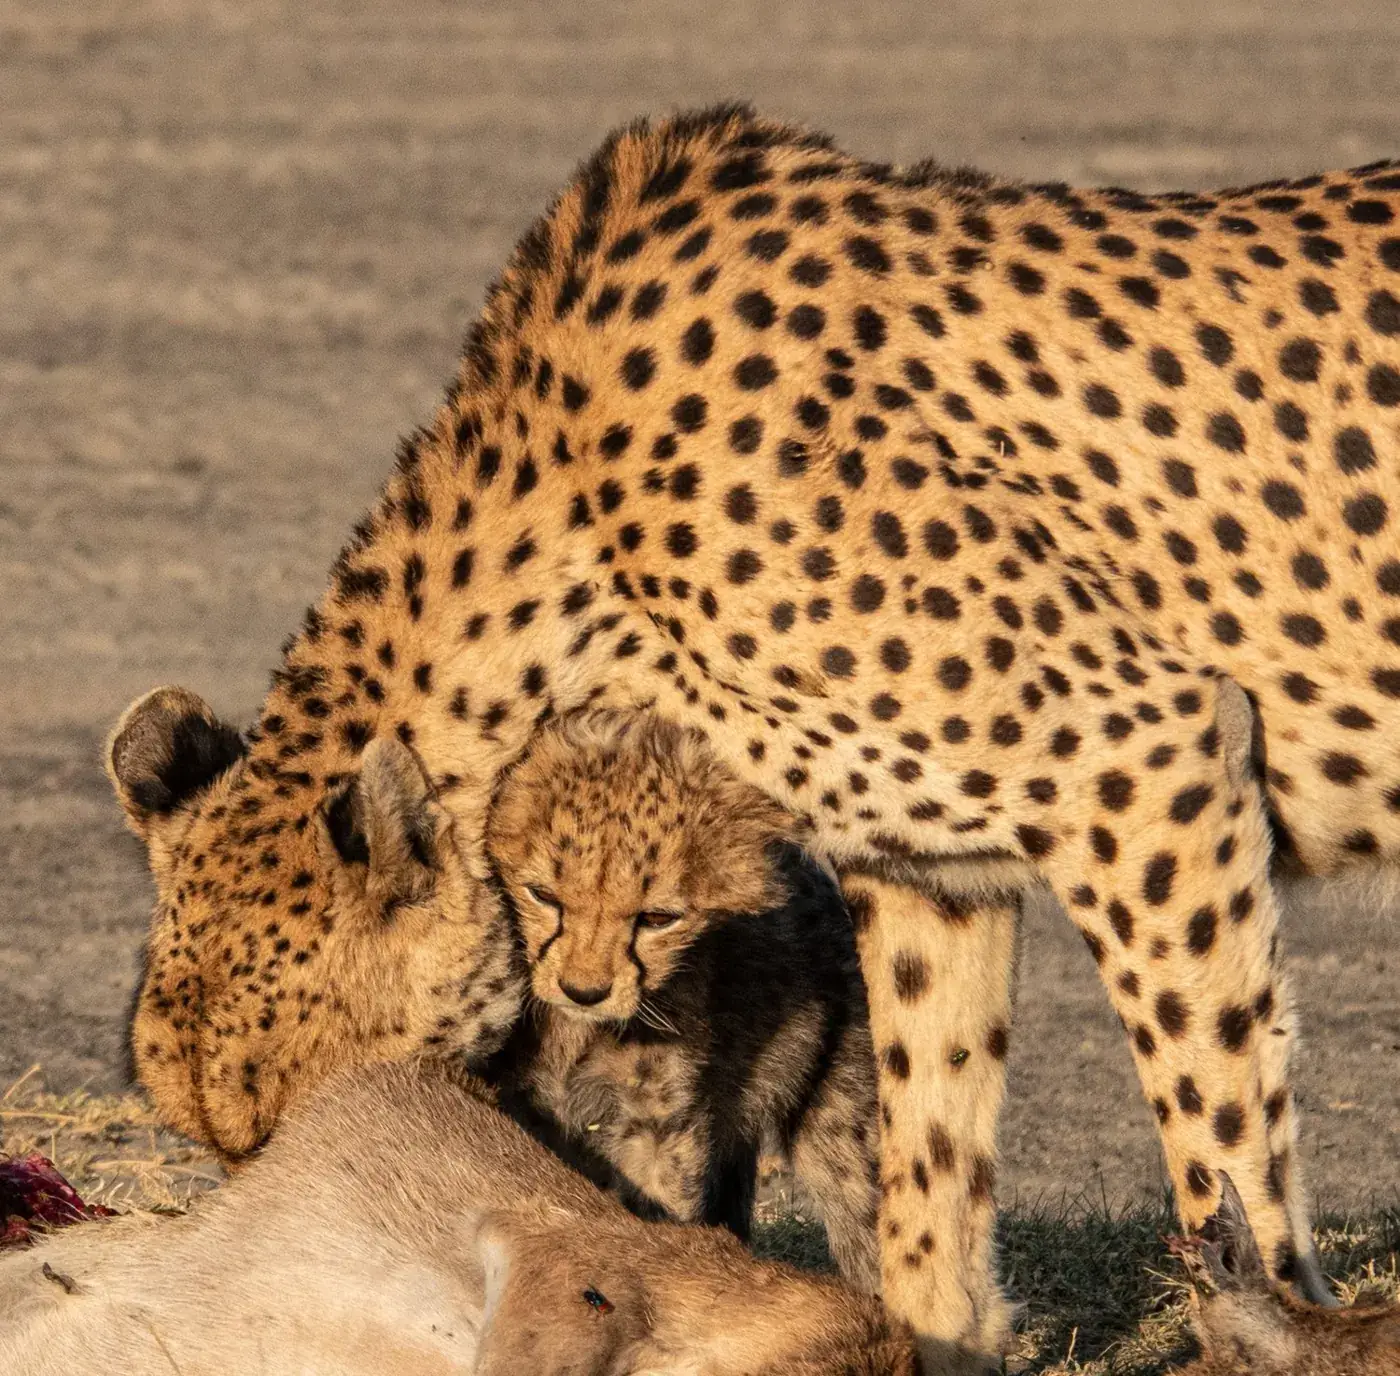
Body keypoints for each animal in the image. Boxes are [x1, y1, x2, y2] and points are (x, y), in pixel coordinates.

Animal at [484, 708, 881, 1291]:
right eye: (543, 896)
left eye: (656, 918)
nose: (585, 990)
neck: (580, 1030)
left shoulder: (658, 1129)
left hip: (836, 1116)